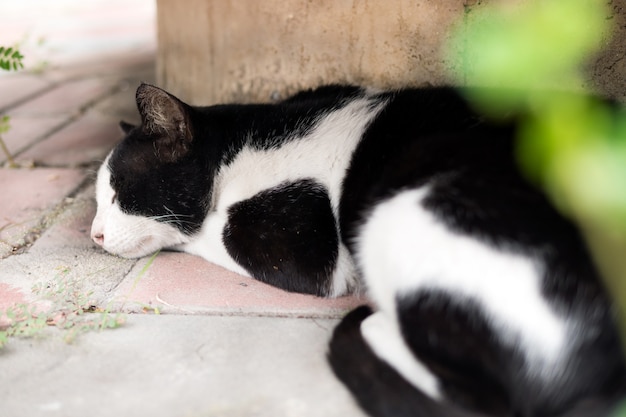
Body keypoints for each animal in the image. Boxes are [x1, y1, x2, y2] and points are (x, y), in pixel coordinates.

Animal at [92, 83, 624, 414]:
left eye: (119, 194)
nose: (93, 234)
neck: (239, 151)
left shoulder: (306, 250)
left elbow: (210, 229)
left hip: (403, 211)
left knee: (482, 402)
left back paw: (374, 323)